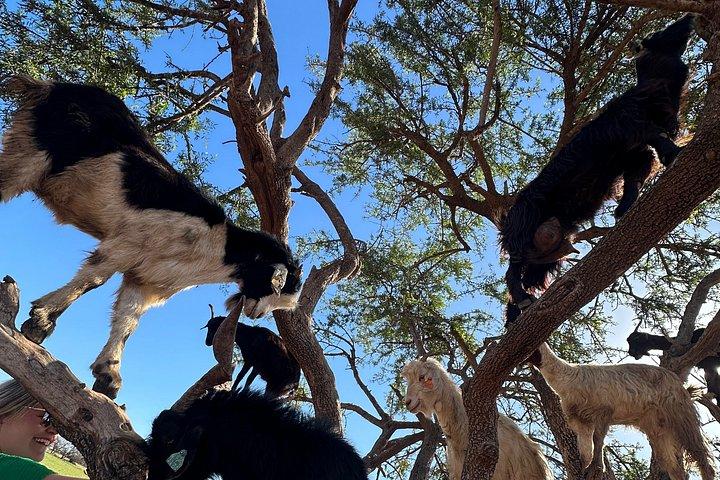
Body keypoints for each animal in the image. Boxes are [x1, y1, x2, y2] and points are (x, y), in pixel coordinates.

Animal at [0, 76, 303, 399]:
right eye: (276, 286)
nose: (256, 314)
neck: (217, 244)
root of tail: (50, 86)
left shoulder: (145, 277)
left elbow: (128, 319)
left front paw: (108, 375)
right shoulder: (127, 244)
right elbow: (92, 281)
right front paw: (41, 322)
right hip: (30, 156)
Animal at [500, 15, 694, 322]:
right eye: (661, 33)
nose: (689, 19)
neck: (647, 91)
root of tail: (507, 219)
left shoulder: (636, 157)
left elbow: (634, 182)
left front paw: (623, 212)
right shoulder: (631, 127)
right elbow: (656, 138)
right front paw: (676, 154)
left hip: (545, 255)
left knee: (523, 276)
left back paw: (517, 314)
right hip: (523, 232)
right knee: (511, 273)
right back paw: (524, 301)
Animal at [528, 342, 715, 480]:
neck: (569, 379)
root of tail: (683, 387)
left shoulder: (604, 411)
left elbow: (598, 440)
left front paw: (596, 468)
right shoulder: (581, 422)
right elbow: (585, 450)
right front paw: (585, 469)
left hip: (681, 415)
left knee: (701, 456)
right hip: (659, 429)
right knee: (674, 468)